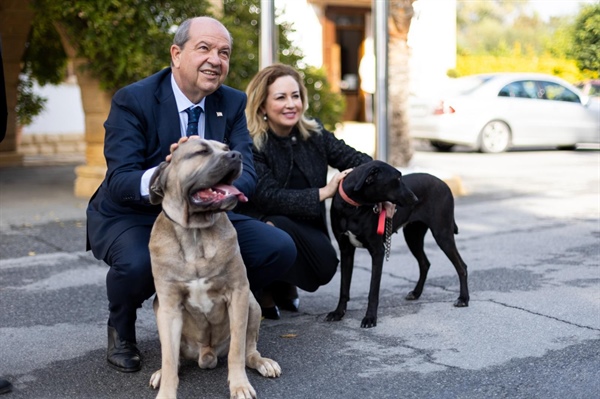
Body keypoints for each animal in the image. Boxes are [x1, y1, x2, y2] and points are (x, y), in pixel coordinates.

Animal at [146, 138, 280, 399]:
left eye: (226, 148)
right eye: (201, 151)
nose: (236, 155)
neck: (195, 232)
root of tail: (206, 354)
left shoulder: (238, 293)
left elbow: (236, 350)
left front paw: (239, 385)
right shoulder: (168, 306)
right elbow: (169, 359)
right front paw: (166, 389)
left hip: (253, 304)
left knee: (249, 350)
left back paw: (263, 362)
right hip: (159, 311)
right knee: (174, 358)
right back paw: (160, 372)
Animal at [326, 161, 472, 330]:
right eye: (397, 179)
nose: (415, 198)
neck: (353, 208)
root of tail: (444, 183)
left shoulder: (377, 251)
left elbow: (373, 290)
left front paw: (370, 318)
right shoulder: (346, 250)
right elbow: (344, 287)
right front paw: (338, 313)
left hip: (442, 235)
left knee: (461, 266)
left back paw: (463, 298)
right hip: (412, 236)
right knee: (425, 263)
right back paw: (416, 292)